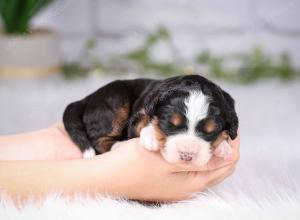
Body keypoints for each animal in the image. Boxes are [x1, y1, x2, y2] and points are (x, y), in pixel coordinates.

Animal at [63, 75, 239, 166]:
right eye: (169, 125)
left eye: (211, 132)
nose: (187, 155)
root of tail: (88, 98)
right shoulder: (139, 115)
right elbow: (143, 123)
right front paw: (152, 136)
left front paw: (223, 147)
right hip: (115, 99)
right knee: (98, 139)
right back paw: (118, 145)